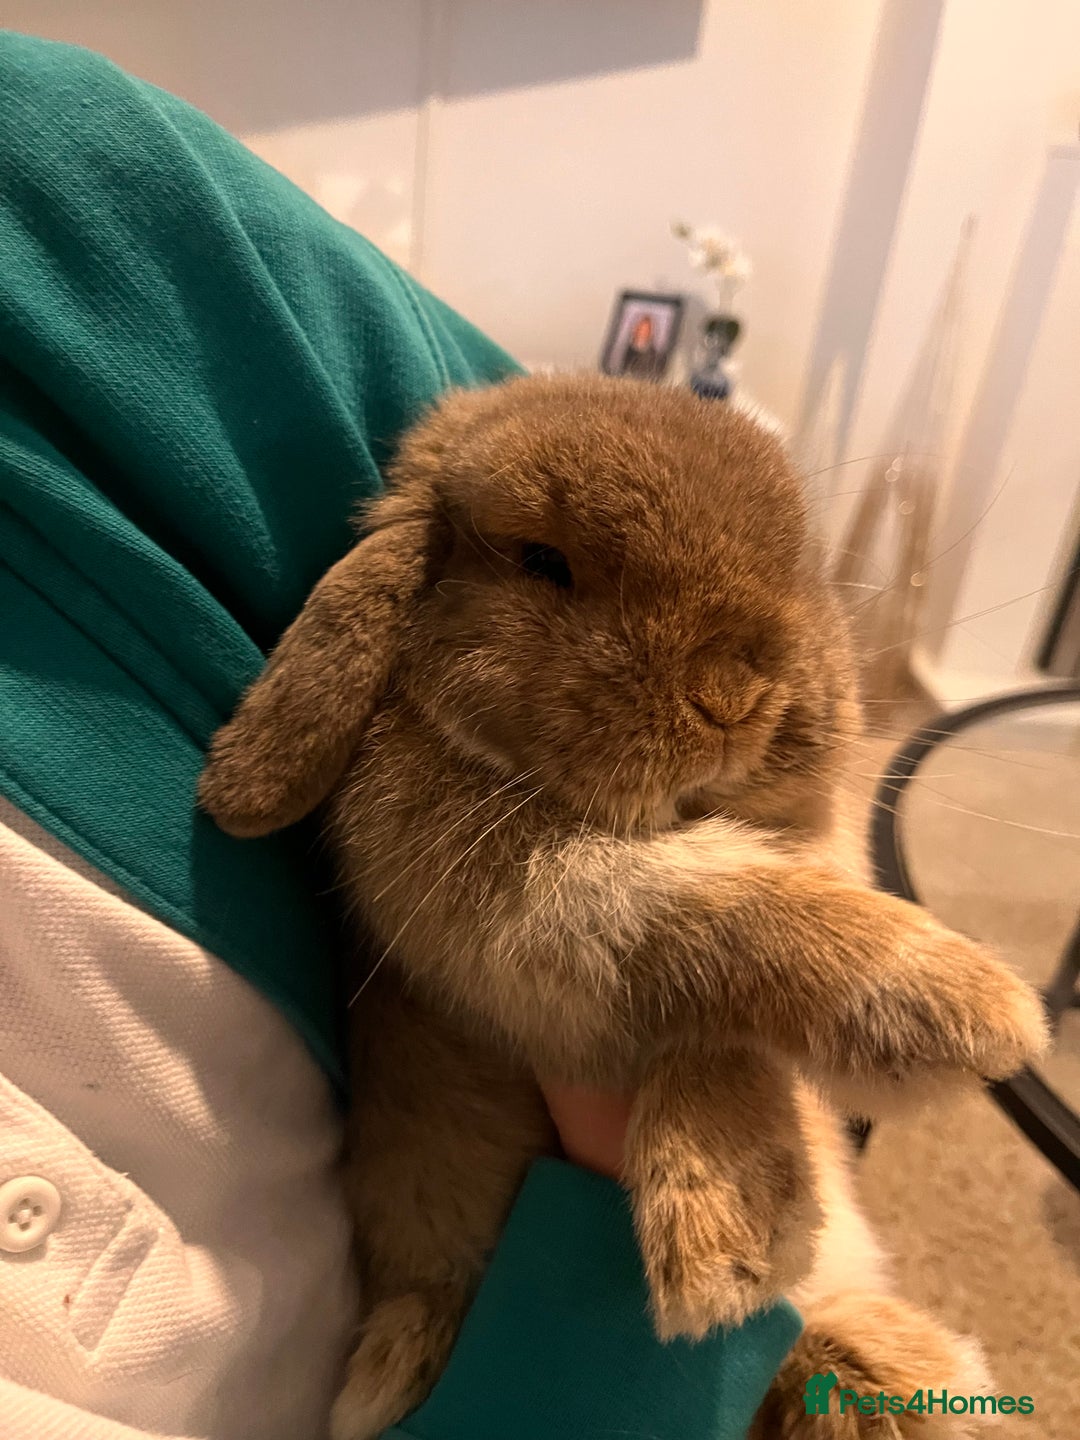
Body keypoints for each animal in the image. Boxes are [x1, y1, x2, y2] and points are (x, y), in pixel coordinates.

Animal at [198, 374, 1046, 1439]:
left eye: (802, 559)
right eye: (543, 562)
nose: (734, 697)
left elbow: (721, 1015)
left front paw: (734, 1224)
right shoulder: (536, 916)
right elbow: (715, 916)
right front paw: (972, 1014)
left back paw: (897, 1379)